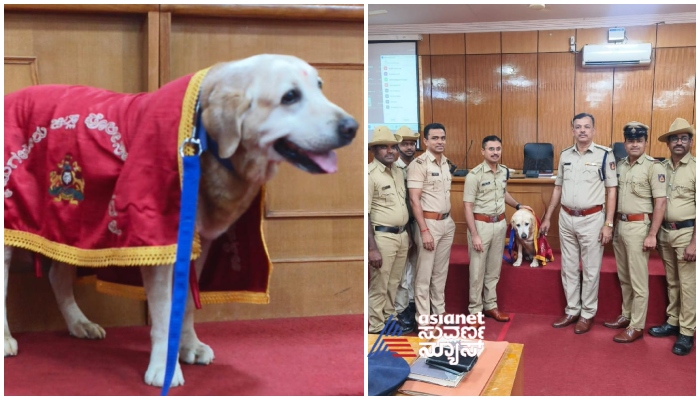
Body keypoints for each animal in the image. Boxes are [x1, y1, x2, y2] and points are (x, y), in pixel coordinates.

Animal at [2, 54, 358, 388]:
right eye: (290, 96)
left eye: (320, 87)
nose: (351, 126)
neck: (207, 147)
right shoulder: (162, 247)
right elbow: (163, 314)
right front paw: (164, 366)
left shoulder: (197, 246)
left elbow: (184, 305)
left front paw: (188, 346)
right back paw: (7, 339)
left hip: (70, 227)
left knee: (57, 276)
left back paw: (79, 323)